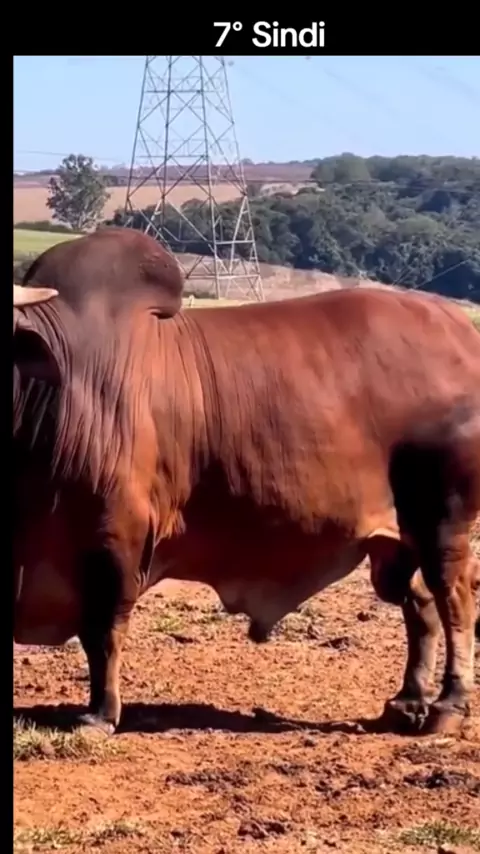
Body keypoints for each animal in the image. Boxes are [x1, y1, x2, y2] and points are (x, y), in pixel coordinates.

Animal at [13, 227, 480, 737]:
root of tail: (462, 330)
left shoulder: (117, 533)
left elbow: (102, 630)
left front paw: (100, 713)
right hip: (392, 542)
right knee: (420, 604)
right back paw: (408, 701)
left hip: (443, 521)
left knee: (454, 599)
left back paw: (449, 704)